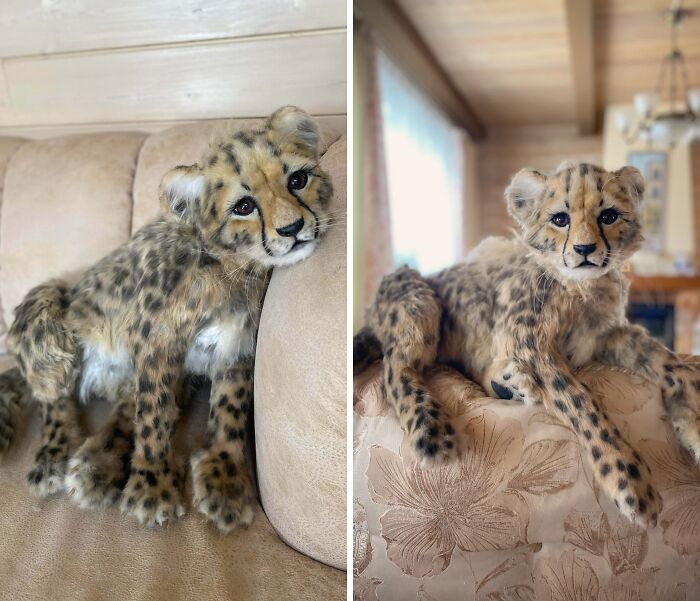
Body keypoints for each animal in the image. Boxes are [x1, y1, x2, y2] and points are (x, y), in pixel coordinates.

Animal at [0, 106, 334, 533]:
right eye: (243, 206)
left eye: (298, 180)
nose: (293, 229)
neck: (230, 267)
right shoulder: (156, 342)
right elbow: (154, 413)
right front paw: (152, 485)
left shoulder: (235, 344)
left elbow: (230, 407)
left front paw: (225, 478)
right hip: (51, 310)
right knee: (53, 399)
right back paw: (54, 459)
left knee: (122, 408)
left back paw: (96, 466)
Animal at [354, 160, 700, 527]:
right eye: (560, 219)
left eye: (608, 216)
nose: (585, 250)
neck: (579, 288)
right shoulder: (533, 346)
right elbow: (582, 403)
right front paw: (628, 477)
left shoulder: (608, 336)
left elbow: (667, 361)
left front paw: (692, 418)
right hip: (418, 301)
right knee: (397, 365)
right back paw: (431, 430)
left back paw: (511, 384)